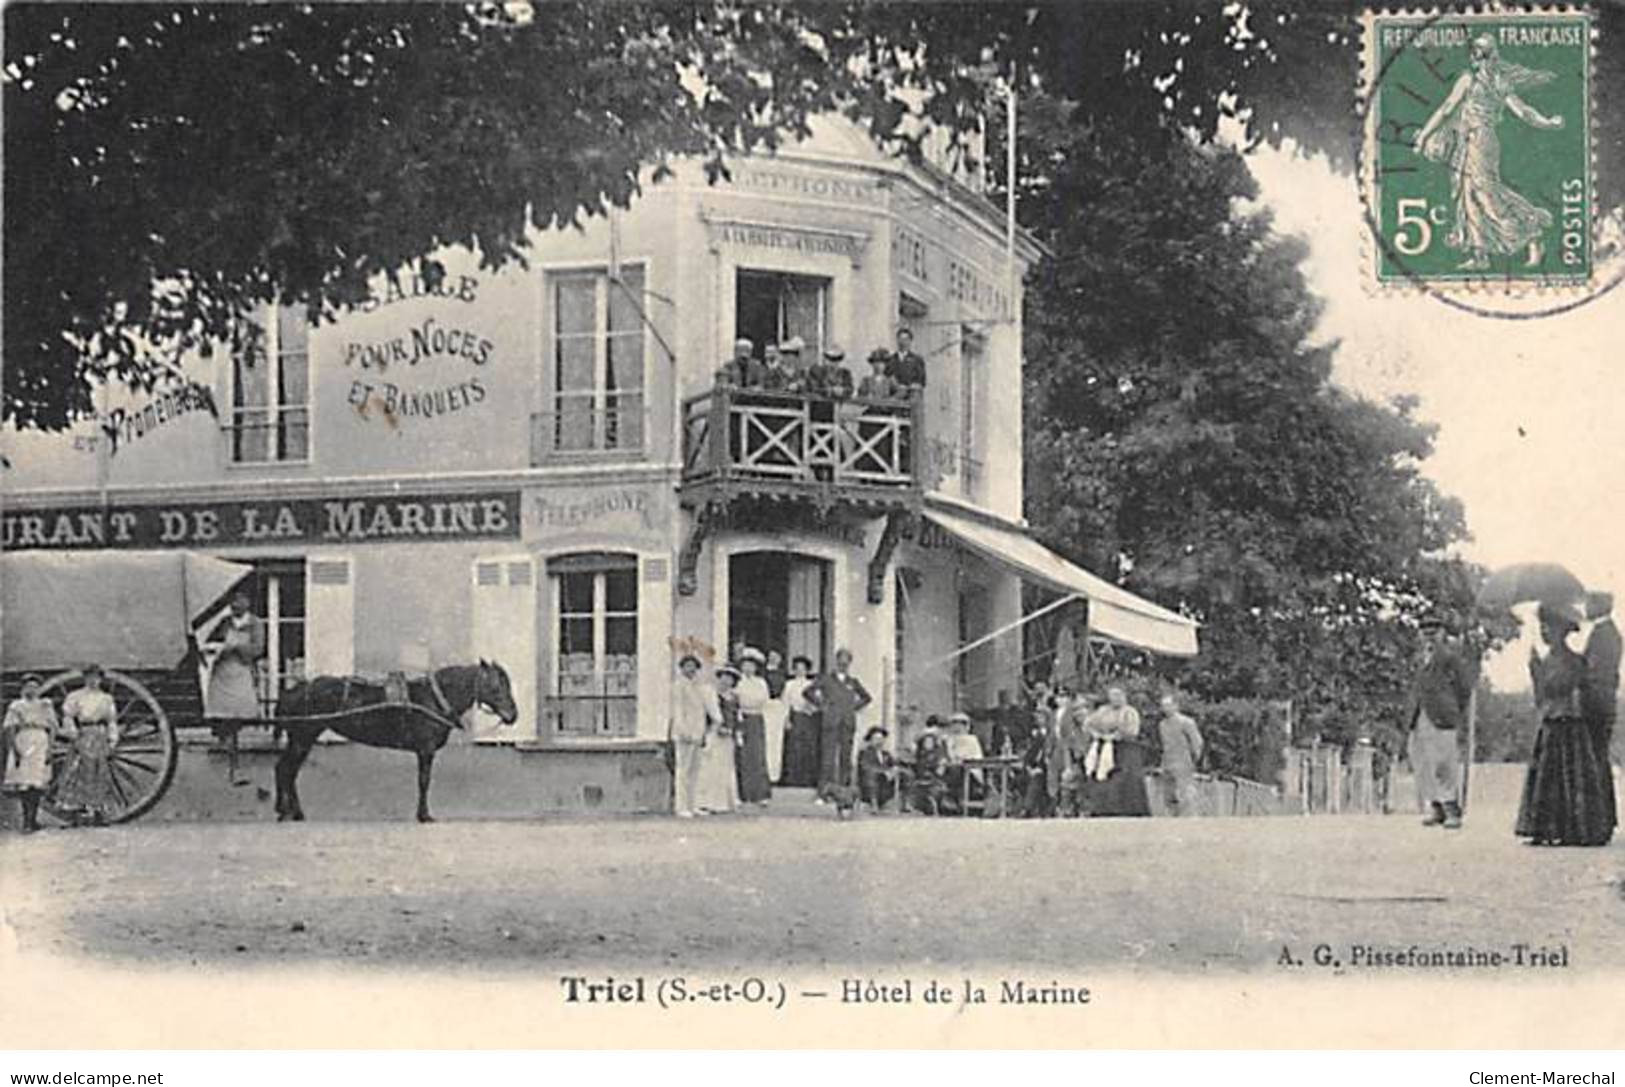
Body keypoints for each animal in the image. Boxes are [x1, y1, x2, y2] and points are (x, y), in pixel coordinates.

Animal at [269, 656, 516, 818]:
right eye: (496, 686)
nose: (513, 715)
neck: (434, 698)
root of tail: (292, 691)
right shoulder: (425, 750)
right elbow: (424, 781)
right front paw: (424, 815)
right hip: (303, 737)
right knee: (287, 770)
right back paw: (292, 811)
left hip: (300, 739)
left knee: (284, 769)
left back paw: (287, 811)